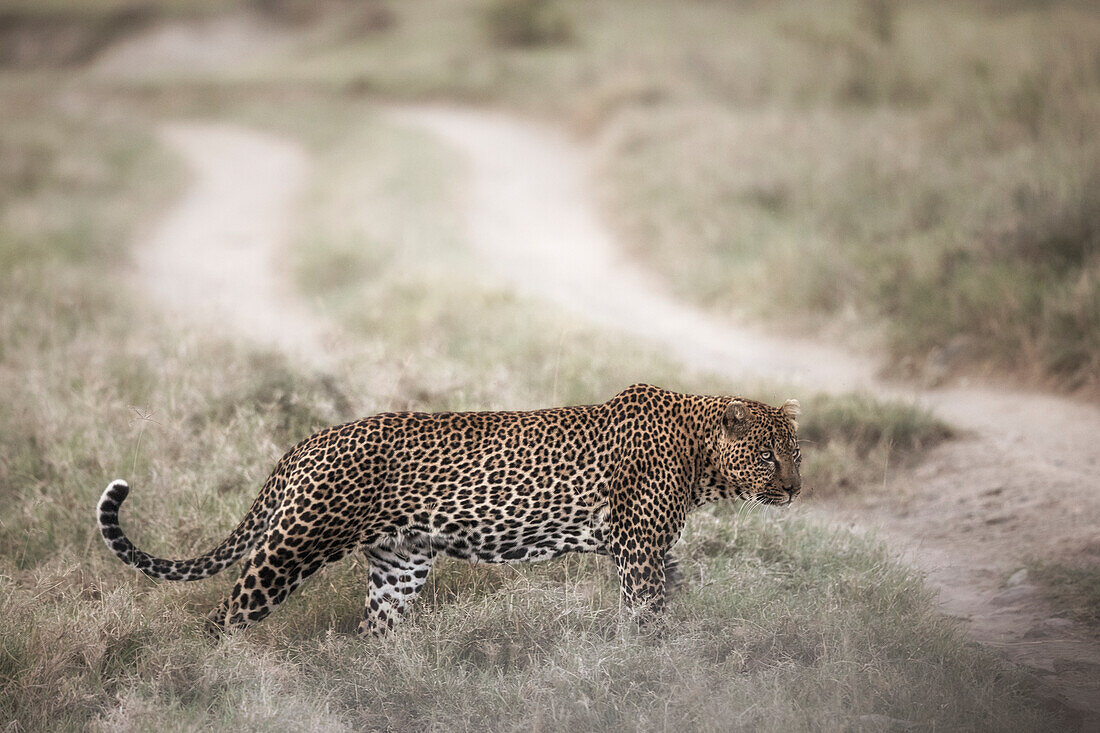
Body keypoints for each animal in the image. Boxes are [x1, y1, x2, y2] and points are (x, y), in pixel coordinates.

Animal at [96, 383, 800, 633]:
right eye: (769, 459)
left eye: (797, 452)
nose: (794, 488)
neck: (702, 457)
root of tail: (307, 442)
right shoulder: (638, 551)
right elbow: (646, 613)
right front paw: (650, 662)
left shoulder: (655, 552)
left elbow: (672, 603)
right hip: (295, 545)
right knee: (225, 615)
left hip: (399, 564)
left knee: (376, 632)